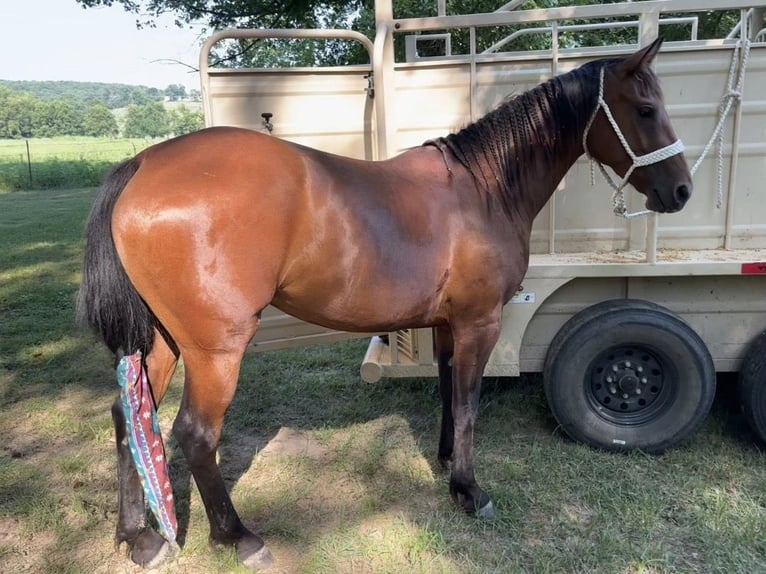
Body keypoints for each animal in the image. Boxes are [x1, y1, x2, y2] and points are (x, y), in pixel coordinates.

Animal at [78, 37, 691, 570]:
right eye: (645, 109)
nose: (681, 190)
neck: (483, 188)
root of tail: (142, 166)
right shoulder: (481, 323)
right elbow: (469, 402)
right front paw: (469, 490)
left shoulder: (449, 325)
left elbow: (448, 392)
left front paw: (446, 462)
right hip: (215, 351)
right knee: (195, 434)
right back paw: (239, 537)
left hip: (161, 341)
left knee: (128, 417)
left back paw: (138, 538)